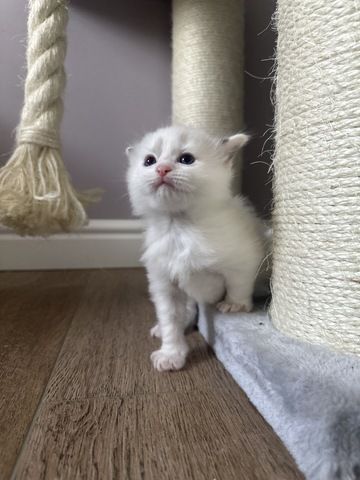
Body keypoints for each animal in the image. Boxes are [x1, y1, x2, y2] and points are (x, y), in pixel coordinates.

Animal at [126, 126, 264, 372]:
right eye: (149, 161)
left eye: (186, 159)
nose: (162, 169)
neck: (180, 227)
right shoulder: (164, 283)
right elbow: (170, 319)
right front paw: (171, 353)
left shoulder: (244, 257)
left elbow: (238, 283)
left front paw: (235, 304)